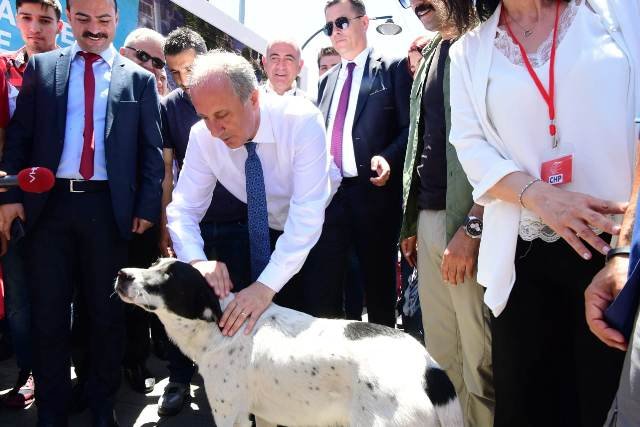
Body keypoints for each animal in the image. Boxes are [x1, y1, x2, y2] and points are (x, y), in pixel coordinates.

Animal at [115, 260, 462, 426]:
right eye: (153, 263)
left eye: (169, 277)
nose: (122, 274)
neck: (216, 328)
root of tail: (429, 370)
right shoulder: (263, 415)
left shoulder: (230, 414)